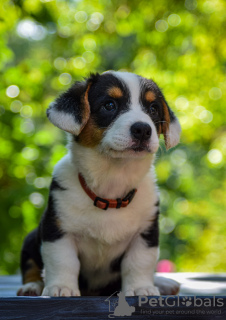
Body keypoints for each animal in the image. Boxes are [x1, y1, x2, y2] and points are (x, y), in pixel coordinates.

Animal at [17, 71, 180, 296]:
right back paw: (32, 286)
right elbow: (63, 261)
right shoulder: (57, 230)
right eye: (109, 105)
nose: (143, 129)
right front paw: (61, 287)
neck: (112, 183)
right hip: (32, 237)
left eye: (153, 109)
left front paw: (141, 289)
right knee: (31, 265)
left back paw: (163, 283)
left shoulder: (145, 234)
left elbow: (139, 263)